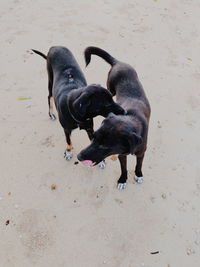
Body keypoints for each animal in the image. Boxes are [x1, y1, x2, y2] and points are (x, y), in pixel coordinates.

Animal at [77, 47, 151, 189]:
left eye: (104, 146)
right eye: (93, 137)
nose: (78, 156)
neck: (131, 118)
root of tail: (118, 62)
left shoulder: (141, 152)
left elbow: (138, 165)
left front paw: (138, 175)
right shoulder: (121, 154)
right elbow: (124, 168)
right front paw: (122, 180)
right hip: (110, 88)